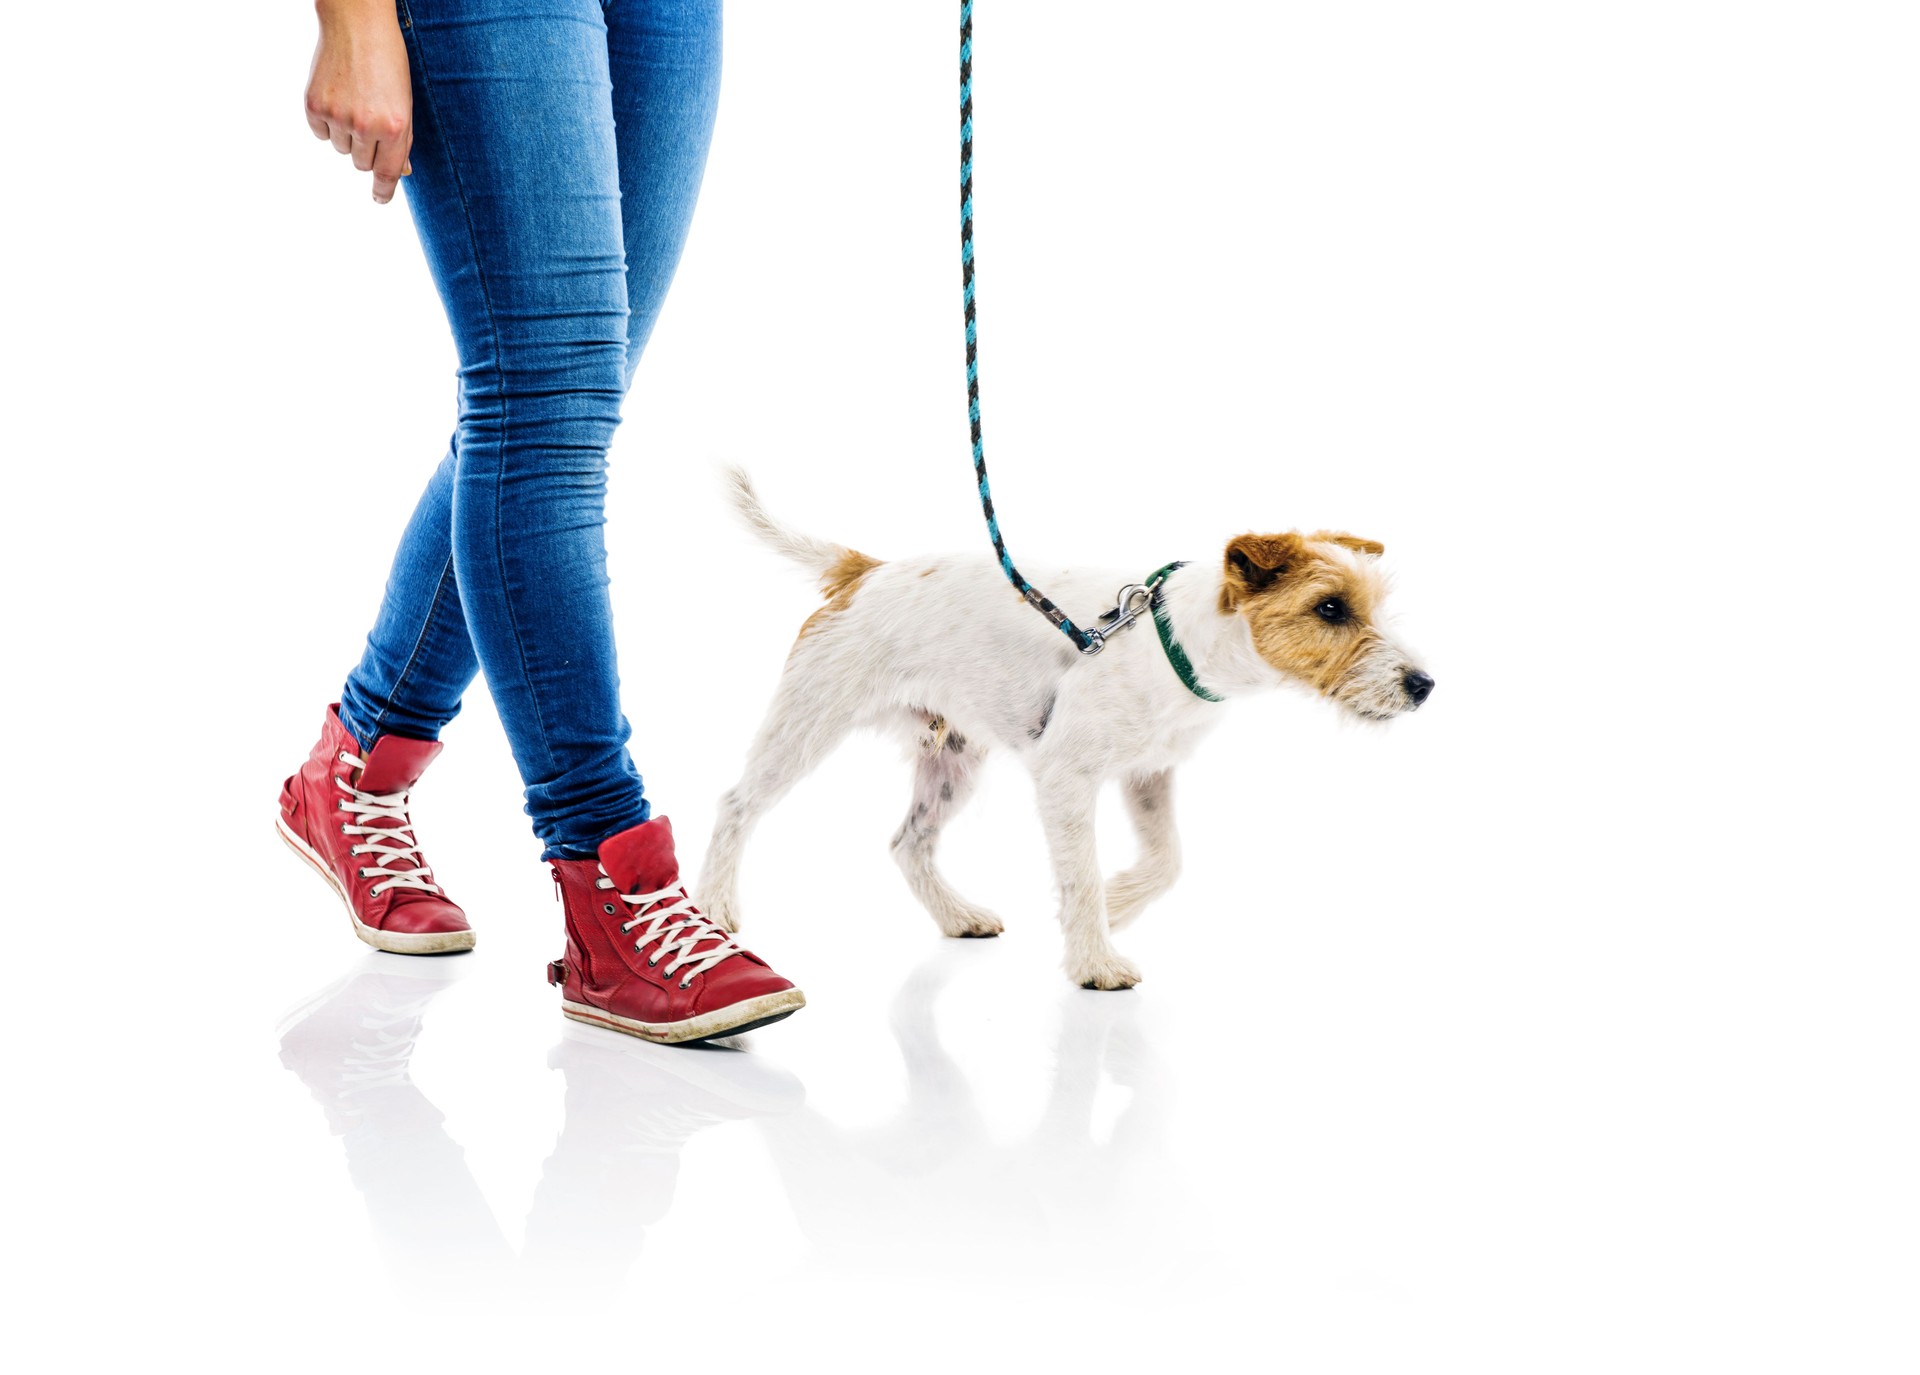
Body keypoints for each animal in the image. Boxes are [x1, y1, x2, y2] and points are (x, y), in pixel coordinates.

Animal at [698, 470, 1436, 990]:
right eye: (1330, 608)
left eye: (1374, 607)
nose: (1424, 685)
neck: (1179, 641)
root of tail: (865, 570)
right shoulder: (1067, 779)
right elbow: (1080, 873)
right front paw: (1095, 960)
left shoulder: (1148, 774)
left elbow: (1168, 860)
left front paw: (1119, 904)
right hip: (807, 722)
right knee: (735, 804)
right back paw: (713, 907)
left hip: (953, 759)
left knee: (909, 842)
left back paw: (958, 915)